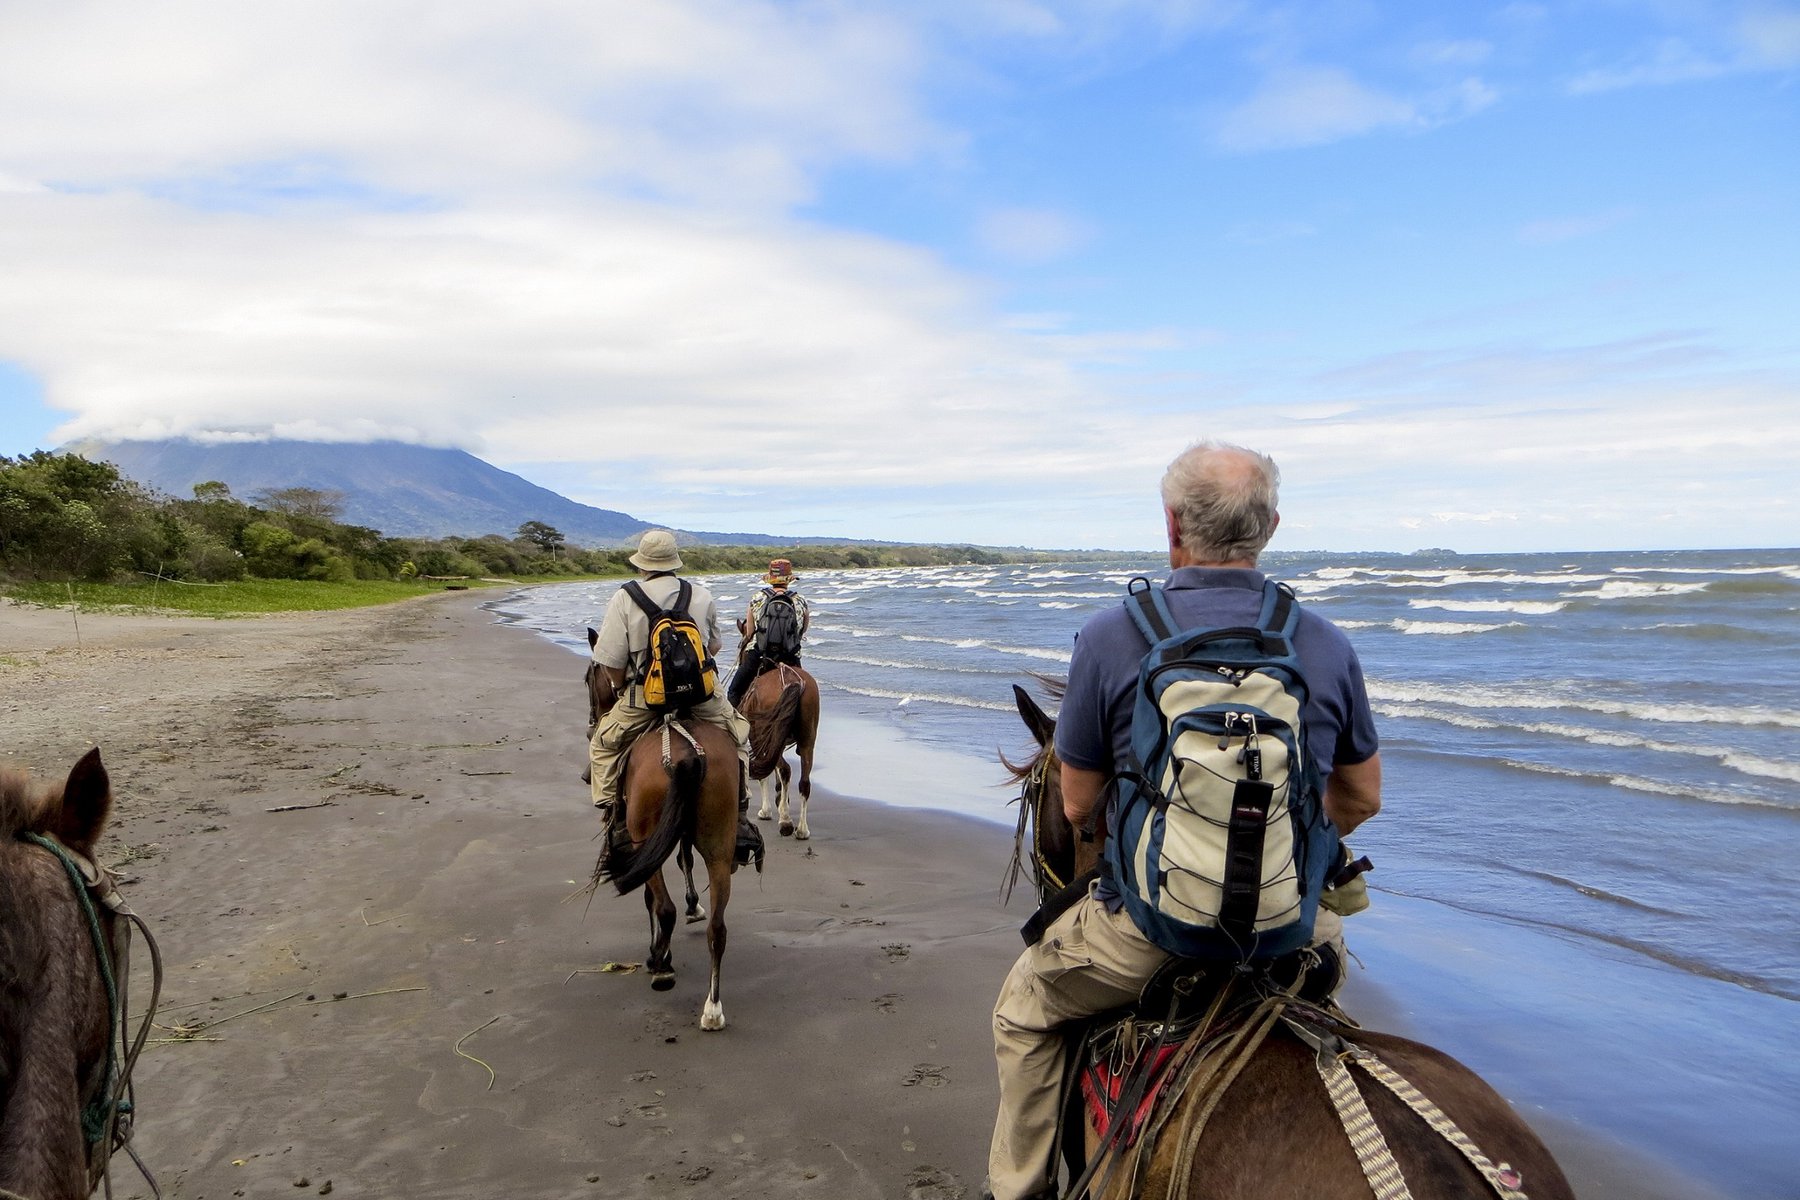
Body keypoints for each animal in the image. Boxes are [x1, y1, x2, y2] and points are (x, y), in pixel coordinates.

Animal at [738, 662, 817, 841]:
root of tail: (791, 680)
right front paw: (780, 798)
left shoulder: (759, 740)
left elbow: (764, 773)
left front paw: (767, 810)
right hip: (807, 742)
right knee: (804, 782)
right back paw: (802, 830)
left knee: (785, 769)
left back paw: (786, 821)